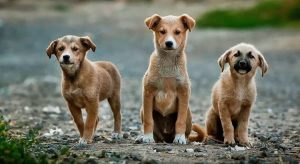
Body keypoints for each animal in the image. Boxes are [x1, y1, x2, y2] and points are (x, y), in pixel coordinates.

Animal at [140, 14, 196, 145]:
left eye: (177, 32)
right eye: (162, 31)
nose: (169, 43)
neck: (168, 63)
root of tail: (166, 138)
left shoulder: (183, 93)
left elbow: (180, 120)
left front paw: (180, 138)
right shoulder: (148, 92)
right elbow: (148, 120)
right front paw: (147, 137)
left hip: (188, 112)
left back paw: (183, 138)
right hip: (142, 110)